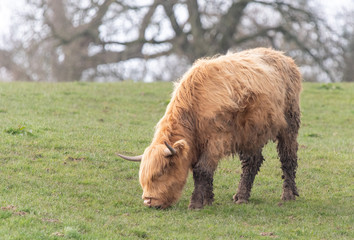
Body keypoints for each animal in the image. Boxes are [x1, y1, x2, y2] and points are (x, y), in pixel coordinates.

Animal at [117, 47, 300, 209]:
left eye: (162, 172)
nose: (149, 201)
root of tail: (283, 57)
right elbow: (206, 172)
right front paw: (208, 200)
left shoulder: (215, 141)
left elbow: (202, 170)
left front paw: (196, 203)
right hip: (251, 133)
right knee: (252, 162)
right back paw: (241, 197)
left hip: (289, 125)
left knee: (288, 159)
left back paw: (288, 195)